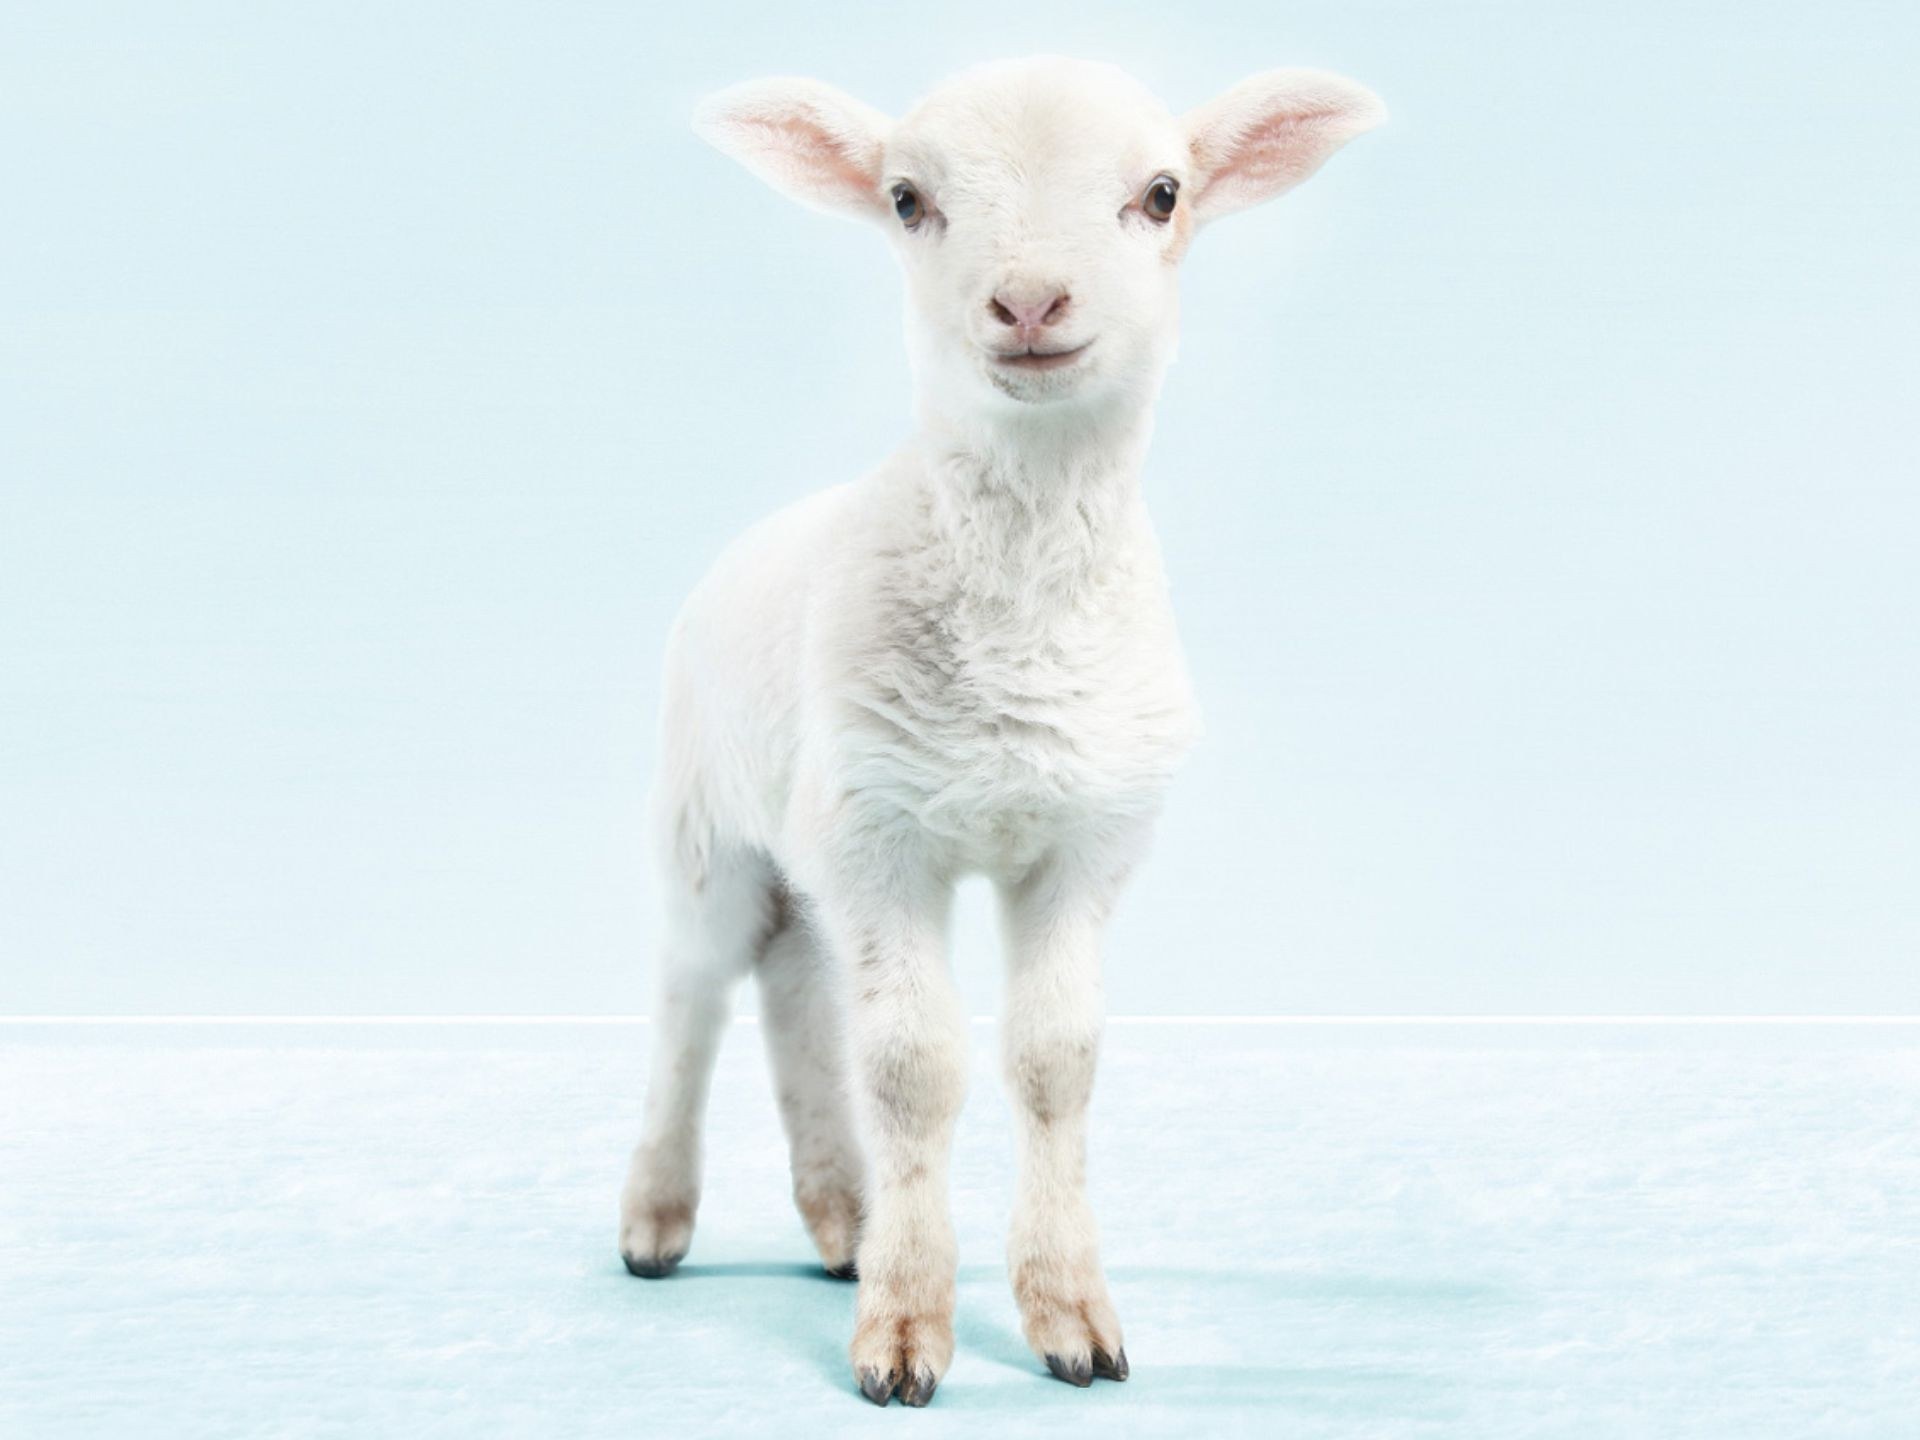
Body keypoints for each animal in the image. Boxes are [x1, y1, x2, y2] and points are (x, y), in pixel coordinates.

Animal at [617, 55, 1384, 1407]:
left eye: (1164, 192)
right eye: (906, 198)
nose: (1028, 300)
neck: (1020, 640)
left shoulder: (1083, 837)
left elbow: (1052, 1059)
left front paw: (1069, 1318)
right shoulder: (884, 838)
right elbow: (914, 1069)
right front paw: (904, 1331)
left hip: (813, 833)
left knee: (796, 988)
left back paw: (839, 1221)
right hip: (706, 817)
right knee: (693, 989)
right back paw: (657, 1221)